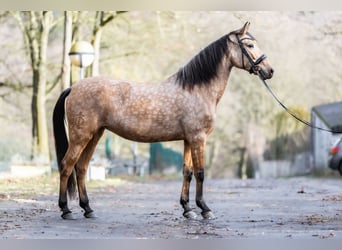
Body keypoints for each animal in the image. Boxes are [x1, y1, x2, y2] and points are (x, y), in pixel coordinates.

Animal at [52, 22, 274, 221]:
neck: (197, 89)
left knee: (81, 168)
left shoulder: (188, 139)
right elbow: (200, 173)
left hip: (95, 135)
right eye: (250, 45)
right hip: (80, 136)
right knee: (66, 166)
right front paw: (204, 209)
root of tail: (73, 87)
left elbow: (187, 172)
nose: (269, 70)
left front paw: (187, 209)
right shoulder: (198, 138)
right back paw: (66, 210)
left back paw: (88, 209)